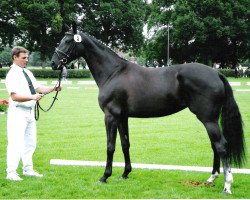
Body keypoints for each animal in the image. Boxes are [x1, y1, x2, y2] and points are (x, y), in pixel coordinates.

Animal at [50, 25, 244, 194]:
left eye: (67, 41)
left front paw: (104, 177)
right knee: (214, 145)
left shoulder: (110, 116)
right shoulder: (123, 117)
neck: (113, 72)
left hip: (208, 119)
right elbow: (125, 144)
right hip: (210, 119)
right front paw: (125, 173)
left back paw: (227, 185)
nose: (53, 63)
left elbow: (110, 146)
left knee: (221, 145)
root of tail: (216, 73)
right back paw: (212, 178)